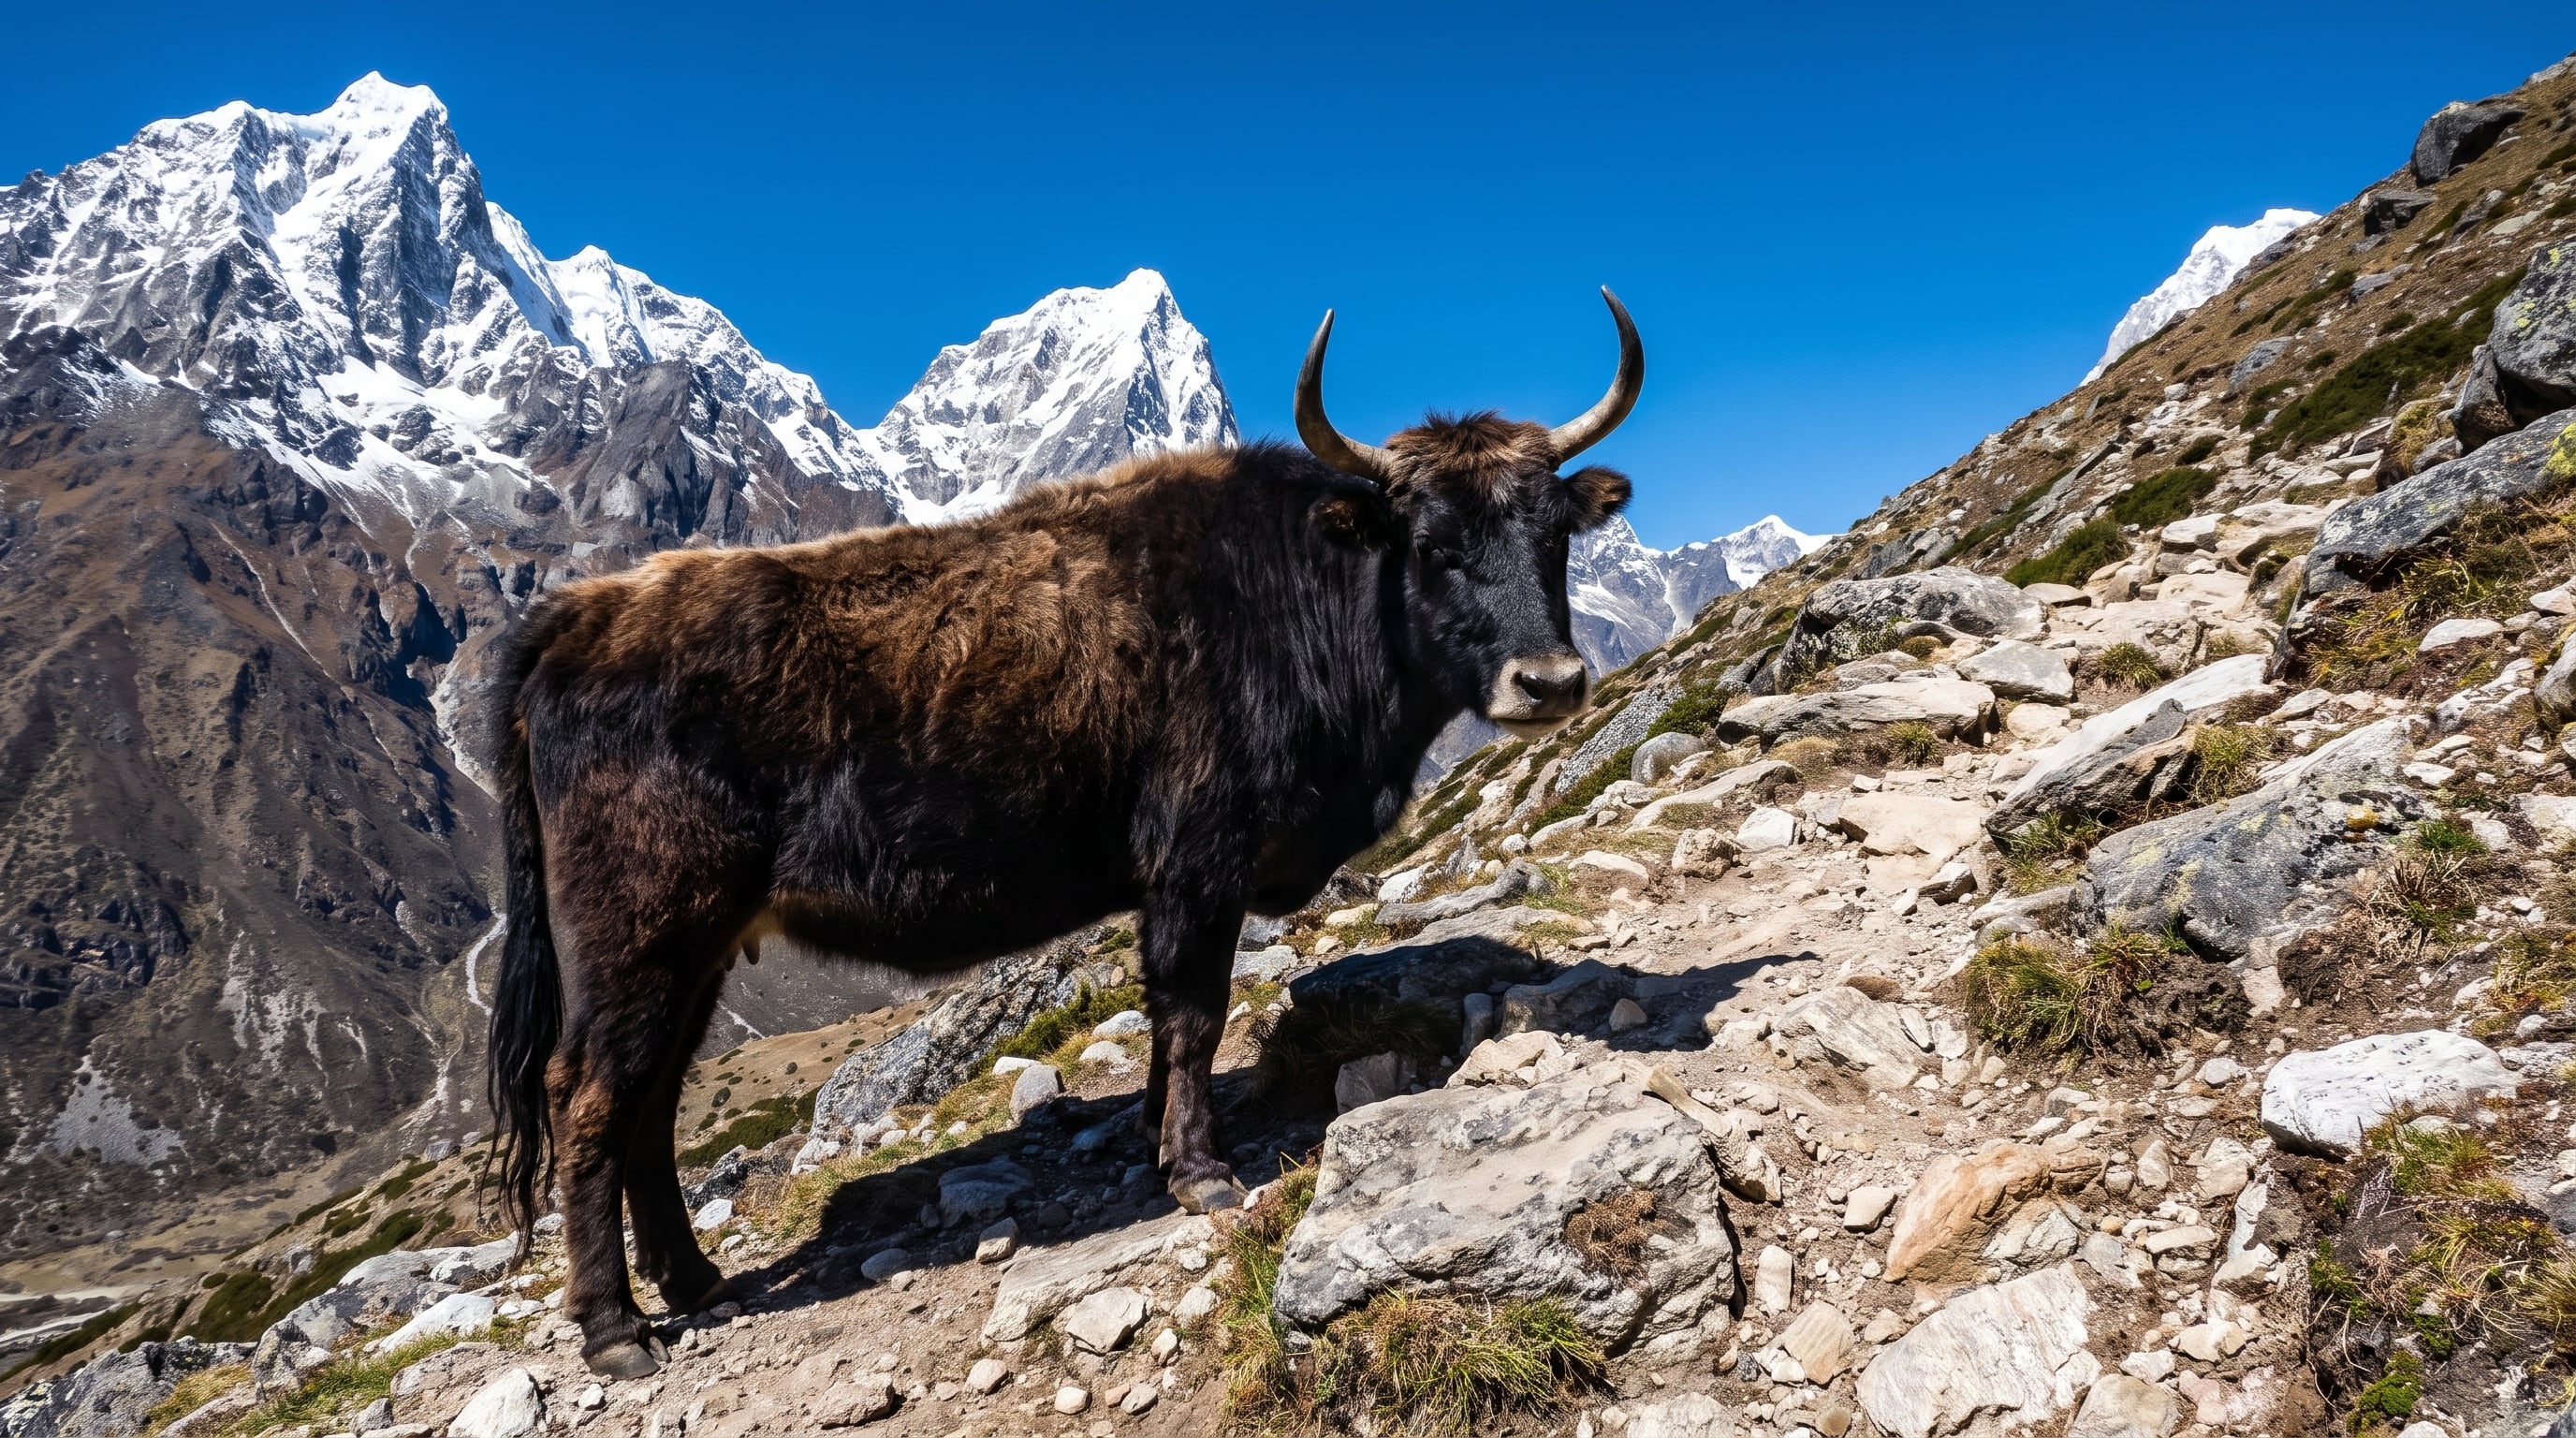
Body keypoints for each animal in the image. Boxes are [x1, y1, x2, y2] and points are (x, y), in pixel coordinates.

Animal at [487, 291, 1644, 1377]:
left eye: (1553, 539)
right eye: (1436, 549)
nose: (1550, 682)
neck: (1299, 596)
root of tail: (573, 624)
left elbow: (1168, 1017)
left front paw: (1154, 1141)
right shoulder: (1196, 862)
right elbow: (1194, 1011)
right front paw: (1201, 1172)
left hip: (701, 946)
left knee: (652, 1102)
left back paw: (694, 1281)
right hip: (640, 931)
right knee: (589, 1097)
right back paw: (614, 1327)